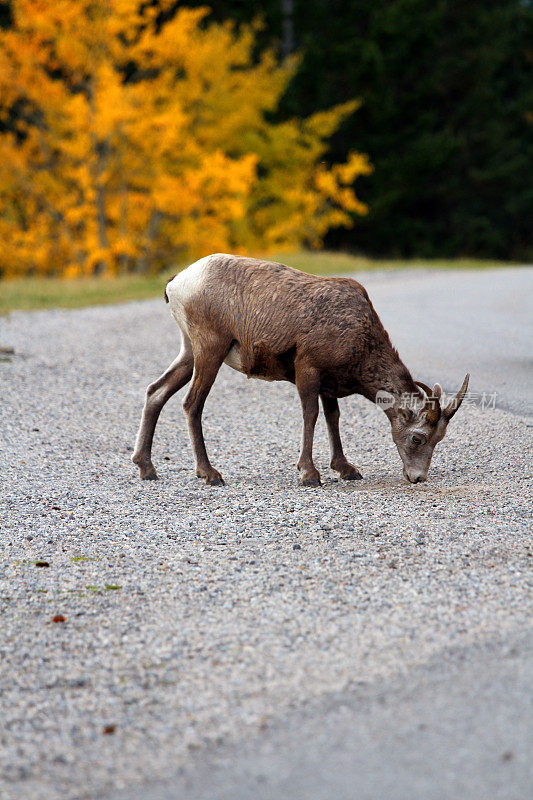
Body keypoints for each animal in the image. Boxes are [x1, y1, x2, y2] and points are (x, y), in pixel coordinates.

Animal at [131, 253, 468, 484]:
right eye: (417, 438)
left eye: (439, 439)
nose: (417, 477)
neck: (361, 340)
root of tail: (177, 283)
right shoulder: (307, 369)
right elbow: (311, 415)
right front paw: (309, 474)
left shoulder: (329, 384)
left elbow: (333, 418)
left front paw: (346, 469)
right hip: (210, 349)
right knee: (192, 403)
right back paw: (210, 473)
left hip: (189, 351)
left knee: (156, 391)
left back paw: (147, 468)